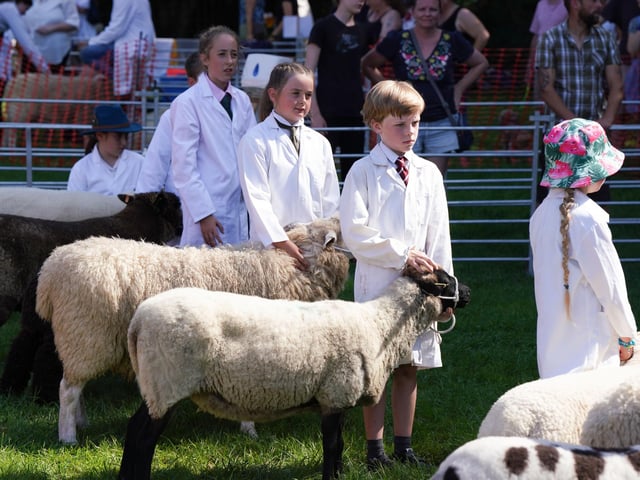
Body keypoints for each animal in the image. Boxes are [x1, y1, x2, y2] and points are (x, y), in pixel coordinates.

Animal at [34, 217, 351, 444]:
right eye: (335, 233)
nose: (340, 217)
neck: (291, 267)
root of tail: (49, 272)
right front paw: (249, 430)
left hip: (80, 341)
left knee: (76, 385)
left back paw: (81, 422)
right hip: (85, 333)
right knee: (68, 390)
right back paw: (68, 437)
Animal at [118, 267, 470, 480]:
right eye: (446, 279)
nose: (467, 292)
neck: (380, 324)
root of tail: (138, 320)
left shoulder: (335, 396)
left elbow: (338, 444)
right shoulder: (336, 393)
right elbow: (333, 445)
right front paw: (332, 476)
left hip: (157, 384)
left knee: (134, 430)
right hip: (166, 381)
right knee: (142, 436)